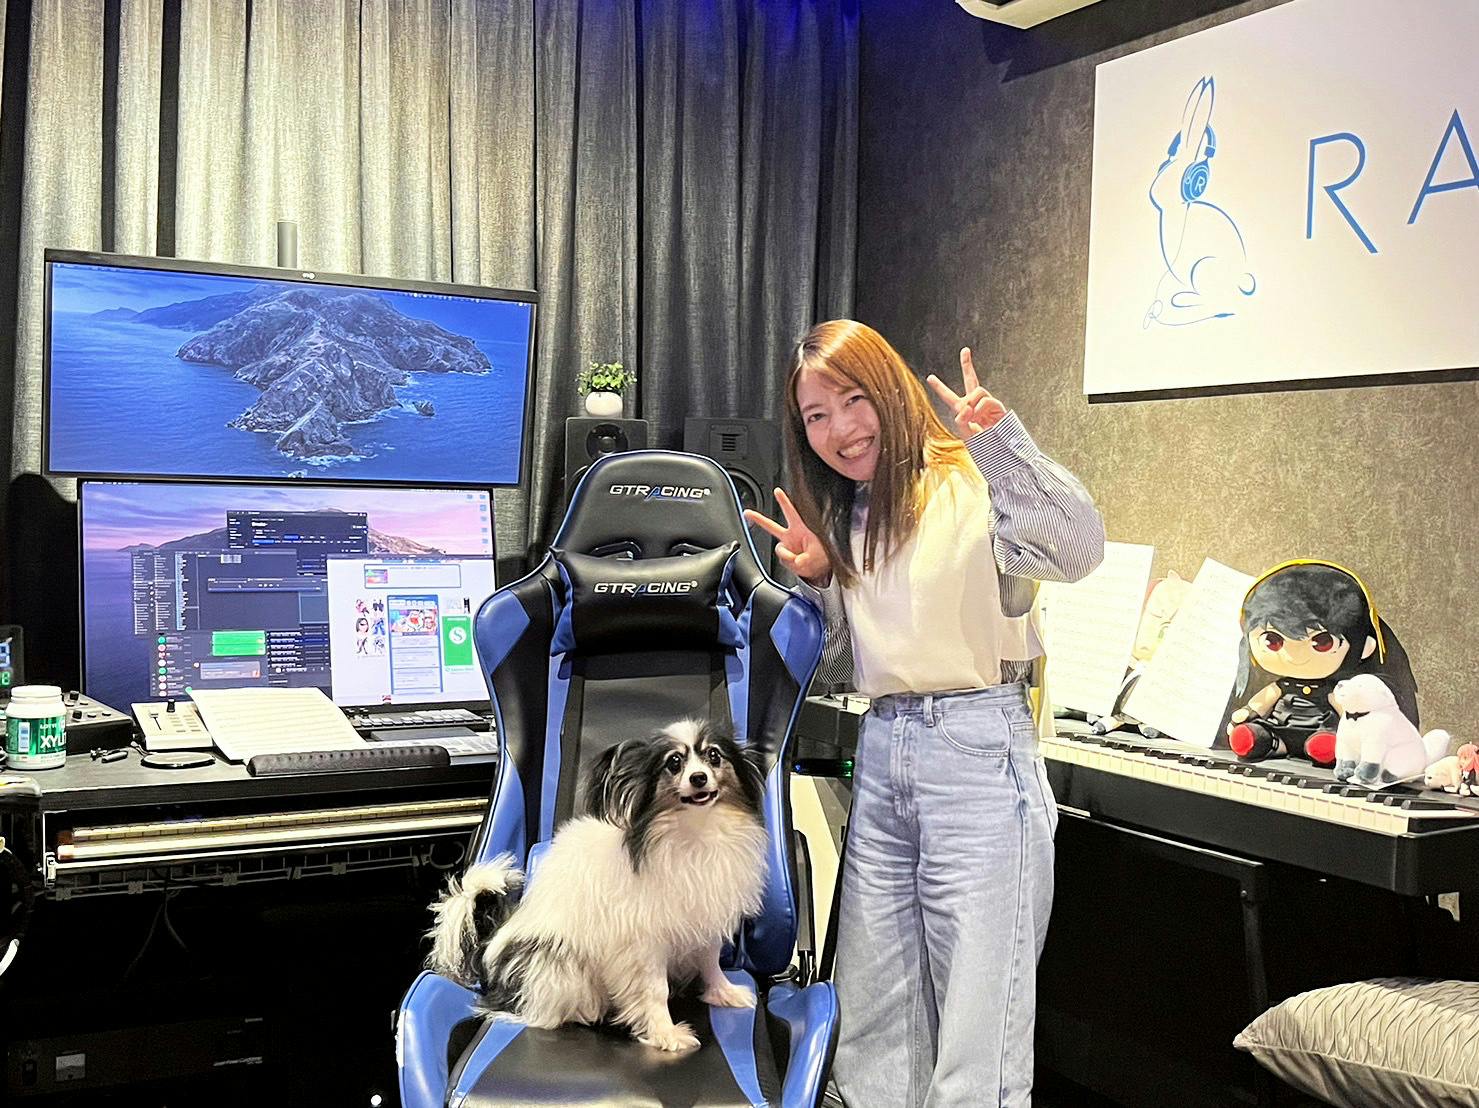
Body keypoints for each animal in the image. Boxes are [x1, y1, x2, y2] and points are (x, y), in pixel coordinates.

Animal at [426, 719, 769, 1052]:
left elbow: (711, 965)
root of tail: (491, 949)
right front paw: (666, 1033)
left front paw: (724, 993)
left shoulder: (704, 922)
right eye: (674, 763)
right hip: (562, 968)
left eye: (714, 756)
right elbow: (655, 990)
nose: (699, 778)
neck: (695, 830)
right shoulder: (644, 943)